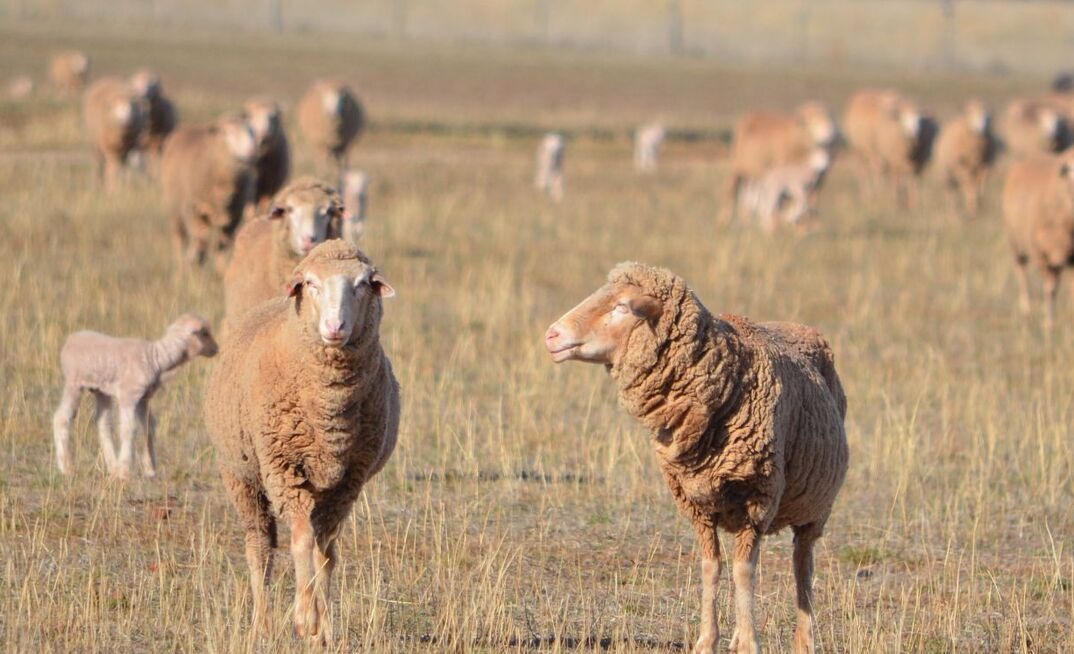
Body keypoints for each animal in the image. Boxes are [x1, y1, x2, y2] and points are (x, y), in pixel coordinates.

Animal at [52, 314, 218, 479]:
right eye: (204, 333)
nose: (216, 349)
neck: (156, 357)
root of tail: (70, 340)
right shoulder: (129, 395)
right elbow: (128, 430)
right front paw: (125, 472)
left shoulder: (143, 398)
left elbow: (149, 428)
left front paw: (150, 469)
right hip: (74, 383)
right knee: (61, 418)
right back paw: (67, 468)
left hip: (101, 390)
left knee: (103, 423)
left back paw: (112, 466)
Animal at [160, 115, 257, 273]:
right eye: (228, 132)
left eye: (252, 132)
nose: (252, 150)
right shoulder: (194, 208)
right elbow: (201, 238)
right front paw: (194, 260)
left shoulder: (234, 214)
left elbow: (223, 244)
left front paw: (221, 269)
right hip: (175, 208)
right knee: (180, 239)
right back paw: (181, 266)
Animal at [203, 240, 398, 643]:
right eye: (310, 283)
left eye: (362, 284)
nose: (335, 327)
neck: (329, 410)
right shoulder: (284, 470)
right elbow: (302, 541)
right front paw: (305, 618)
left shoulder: (347, 482)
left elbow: (325, 552)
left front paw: (322, 628)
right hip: (241, 476)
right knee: (260, 549)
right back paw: (261, 624)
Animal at [544, 262, 848, 654]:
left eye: (623, 306)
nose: (551, 335)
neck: (726, 377)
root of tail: (800, 327)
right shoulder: (696, 504)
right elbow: (711, 567)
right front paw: (708, 639)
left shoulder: (757, 499)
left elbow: (744, 572)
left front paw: (751, 641)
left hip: (815, 506)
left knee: (802, 565)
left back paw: (804, 638)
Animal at [1001, 150, 1074, 328]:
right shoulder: (1041, 255)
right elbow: (1050, 290)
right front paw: (1049, 324)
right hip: (1017, 245)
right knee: (1022, 276)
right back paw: (1026, 312)